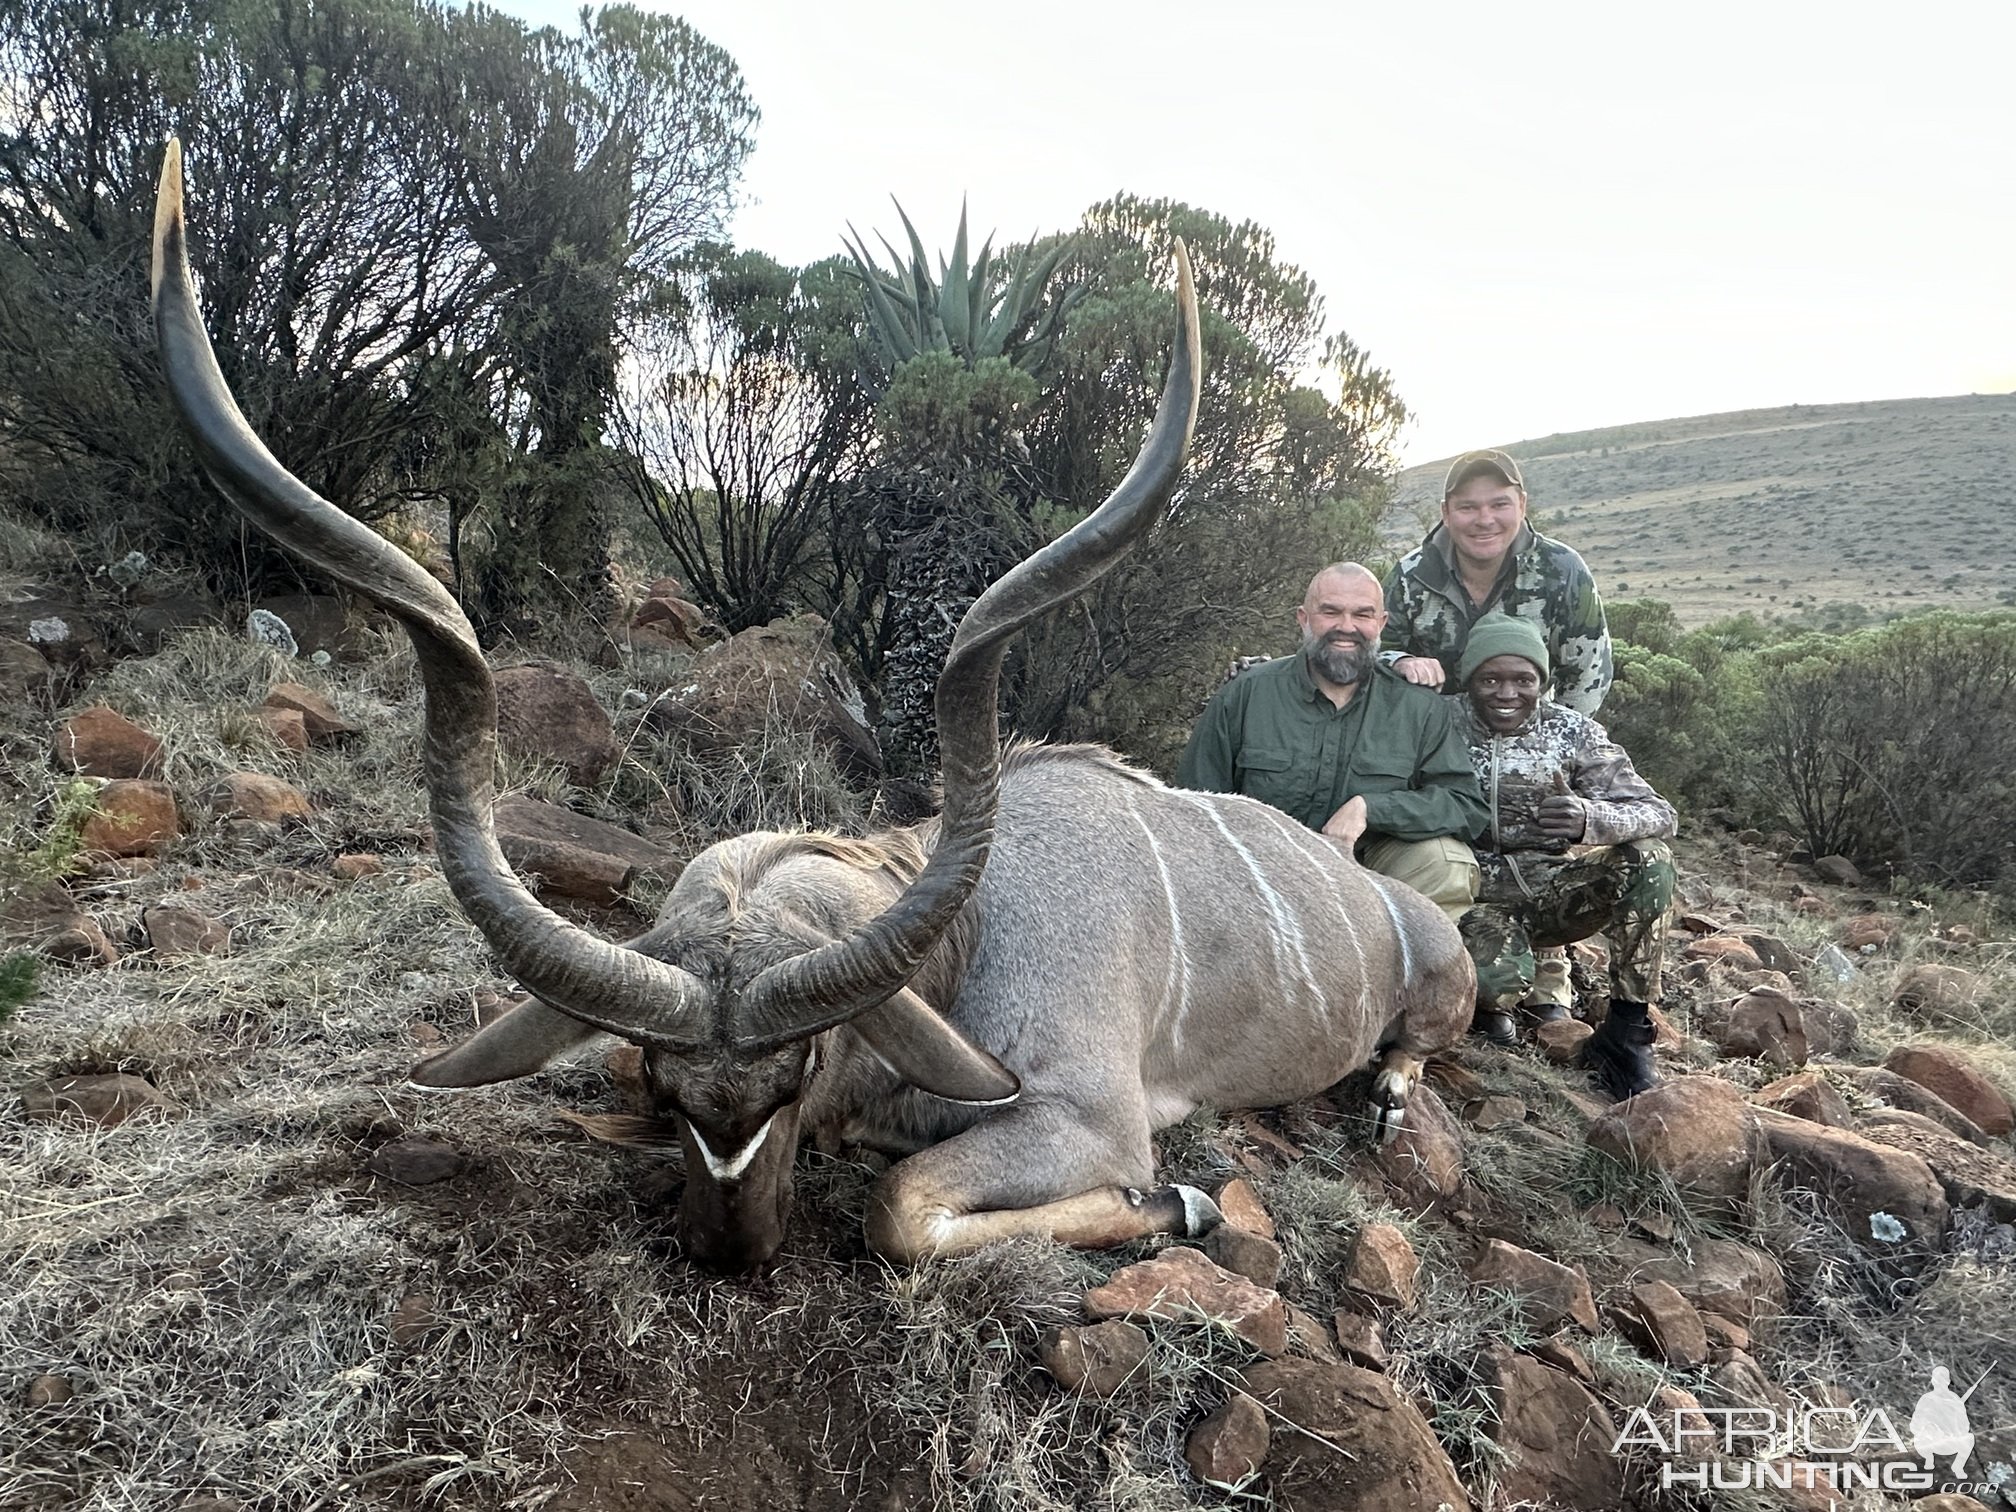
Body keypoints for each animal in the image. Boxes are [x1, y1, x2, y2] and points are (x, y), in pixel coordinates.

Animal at [153, 142, 1467, 1282]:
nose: (727, 1252)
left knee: (1415, 1050)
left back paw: (1389, 1096)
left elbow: (902, 1206)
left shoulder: (1093, 1119)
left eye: (800, 1073)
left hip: (1436, 993)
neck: (966, 937)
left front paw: (1182, 1202)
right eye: (661, 1083)